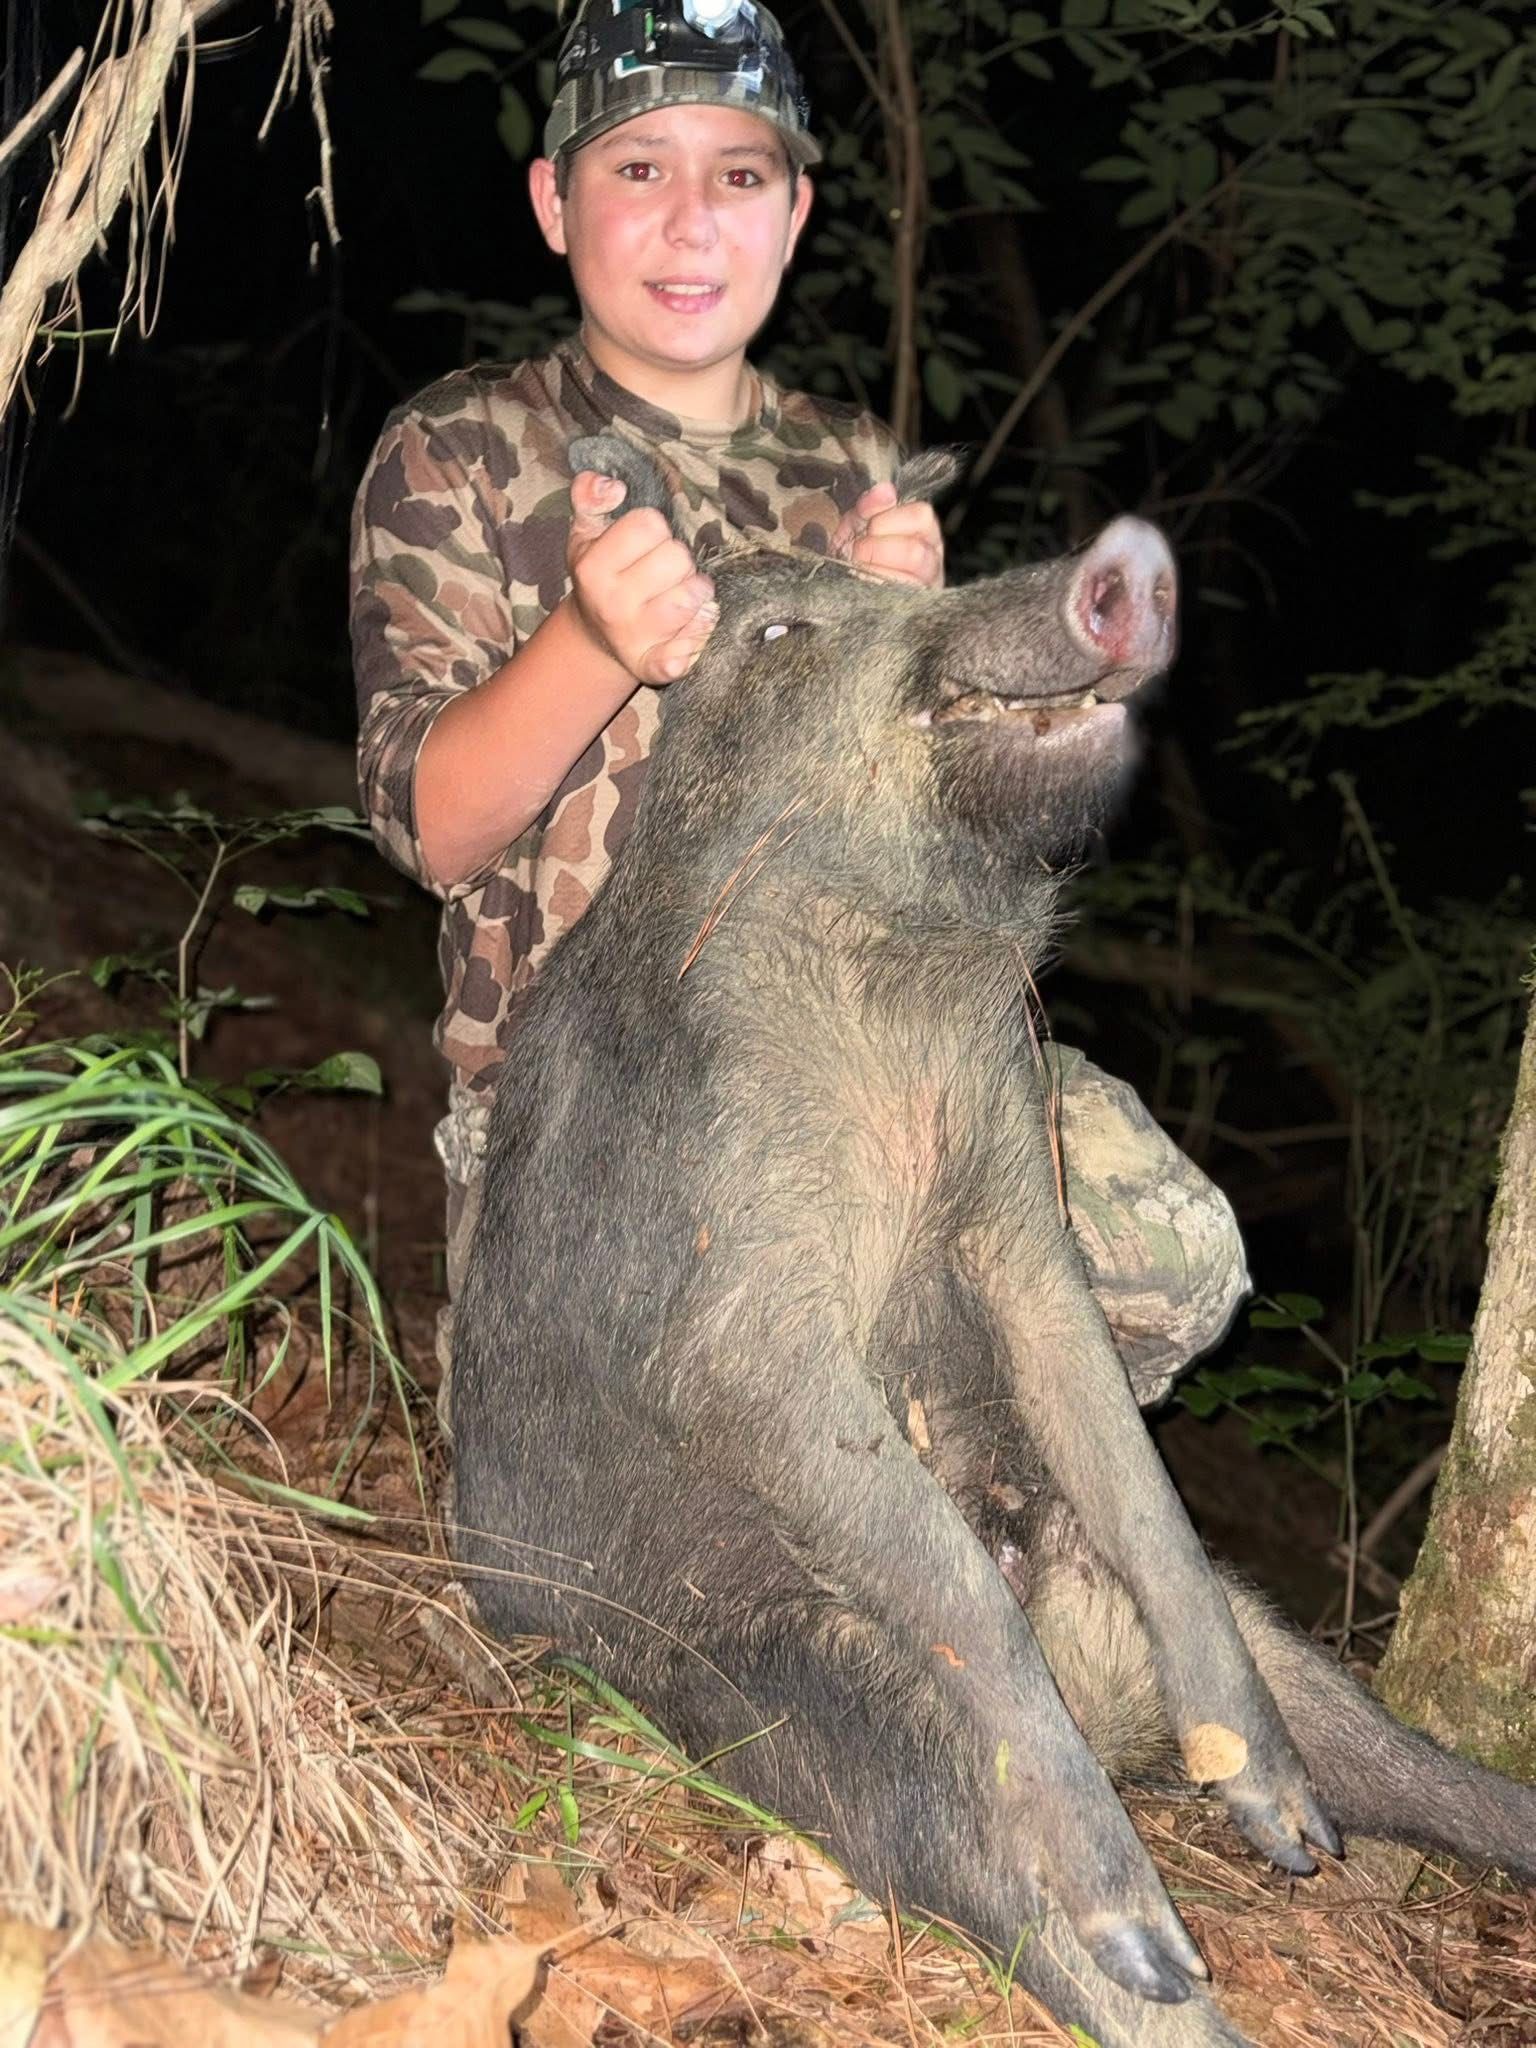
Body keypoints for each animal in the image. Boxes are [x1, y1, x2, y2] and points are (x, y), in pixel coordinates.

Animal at [448, 435, 1536, 2048]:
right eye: (782, 630)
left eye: (904, 581)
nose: (1129, 557)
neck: (899, 987)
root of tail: (1100, 1673)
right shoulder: (731, 1299)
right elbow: (915, 1545)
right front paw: (1151, 1926)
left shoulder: (1019, 1200)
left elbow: (1126, 1446)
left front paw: (1277, 1822)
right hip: (811, 1692)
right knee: (1023, 1886)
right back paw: (1159, 1952)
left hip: (1273, 1639)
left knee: (1394, 1755)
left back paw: (1299, 1830)